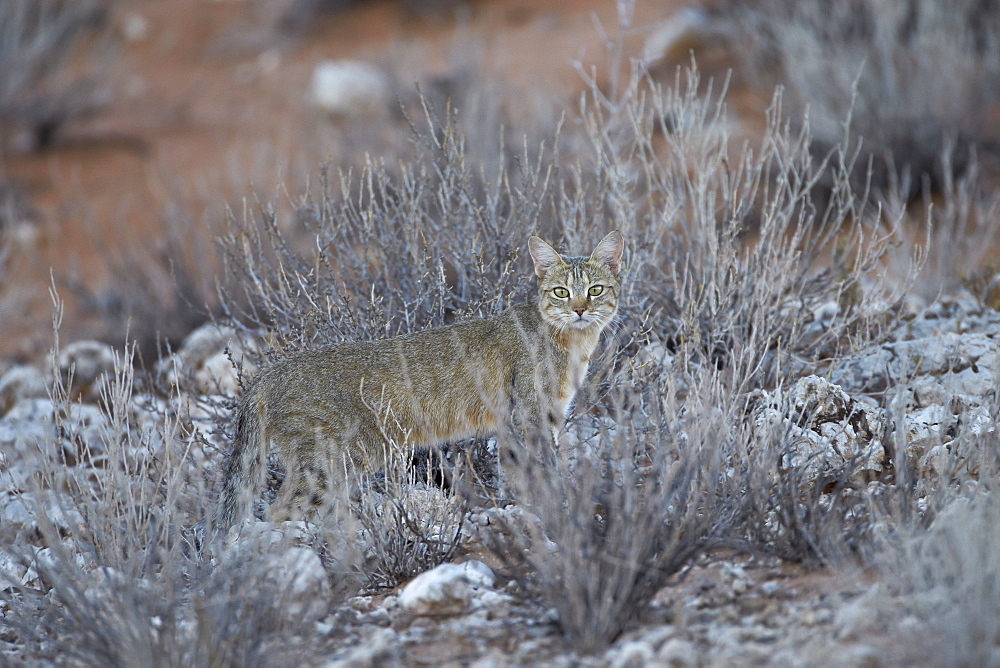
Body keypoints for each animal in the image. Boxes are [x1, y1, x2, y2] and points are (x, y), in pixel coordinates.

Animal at [216, 232, 624, 536]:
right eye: (561, 292)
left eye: (596, 289)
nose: (580, 309)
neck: (572, 344)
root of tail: (268, 374)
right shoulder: (531, 417)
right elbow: (546, 474)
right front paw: (560, 513)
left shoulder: (514, 427)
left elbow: (520, 478)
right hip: (325, 464)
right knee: (280, 512)